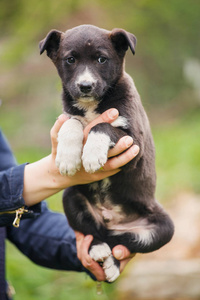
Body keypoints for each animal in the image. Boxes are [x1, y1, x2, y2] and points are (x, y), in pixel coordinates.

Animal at [39, 24, 174, 282]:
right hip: (71, 197)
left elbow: (102, 126)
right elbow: (73, 123)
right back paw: (99, 249)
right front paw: (68, 158)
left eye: (101, 59)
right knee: (96, 232)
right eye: (70, 60)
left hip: (164, 227)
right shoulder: (69, 115)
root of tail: (114, 221)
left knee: (122, 241)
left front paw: (92, 155)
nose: (85, 86)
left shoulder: (135, 144)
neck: (92, 106)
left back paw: (111, 262)